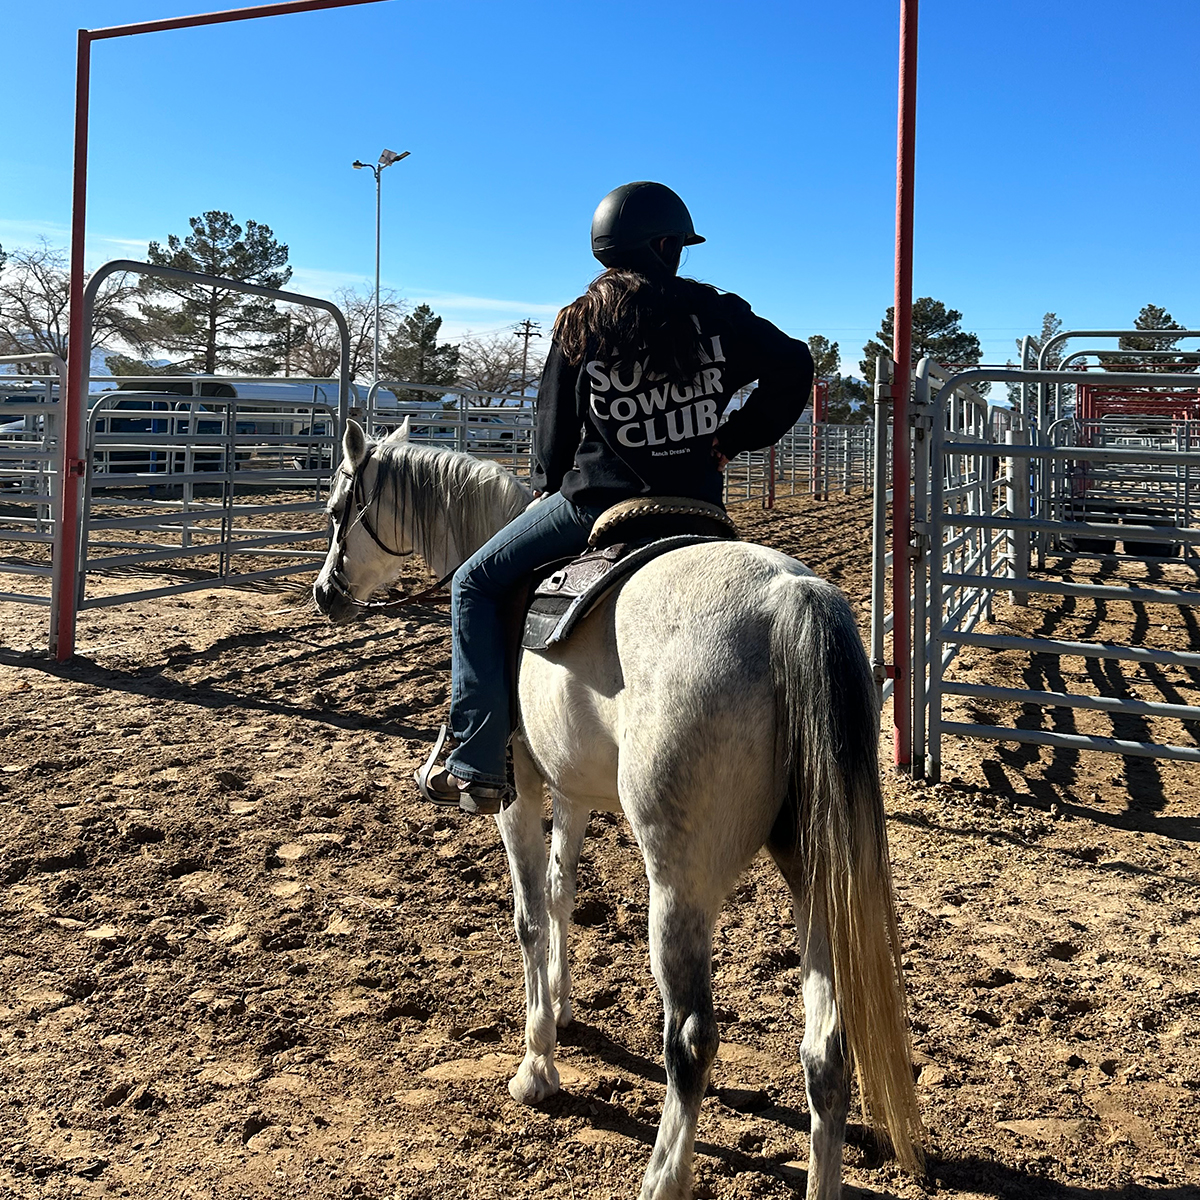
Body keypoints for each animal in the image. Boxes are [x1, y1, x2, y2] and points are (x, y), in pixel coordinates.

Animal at [313, 418, 923, 1200]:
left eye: (338, 510)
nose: (324, 593)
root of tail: (790, 598)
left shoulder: (519, 788)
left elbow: (528, 915)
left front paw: (536, 1066)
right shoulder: (571, 789)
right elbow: (561, 894)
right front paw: (564, 1008)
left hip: (680, 883)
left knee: (691, 1037)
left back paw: (663, 1176)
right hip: (816, 872)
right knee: (826, 1051)